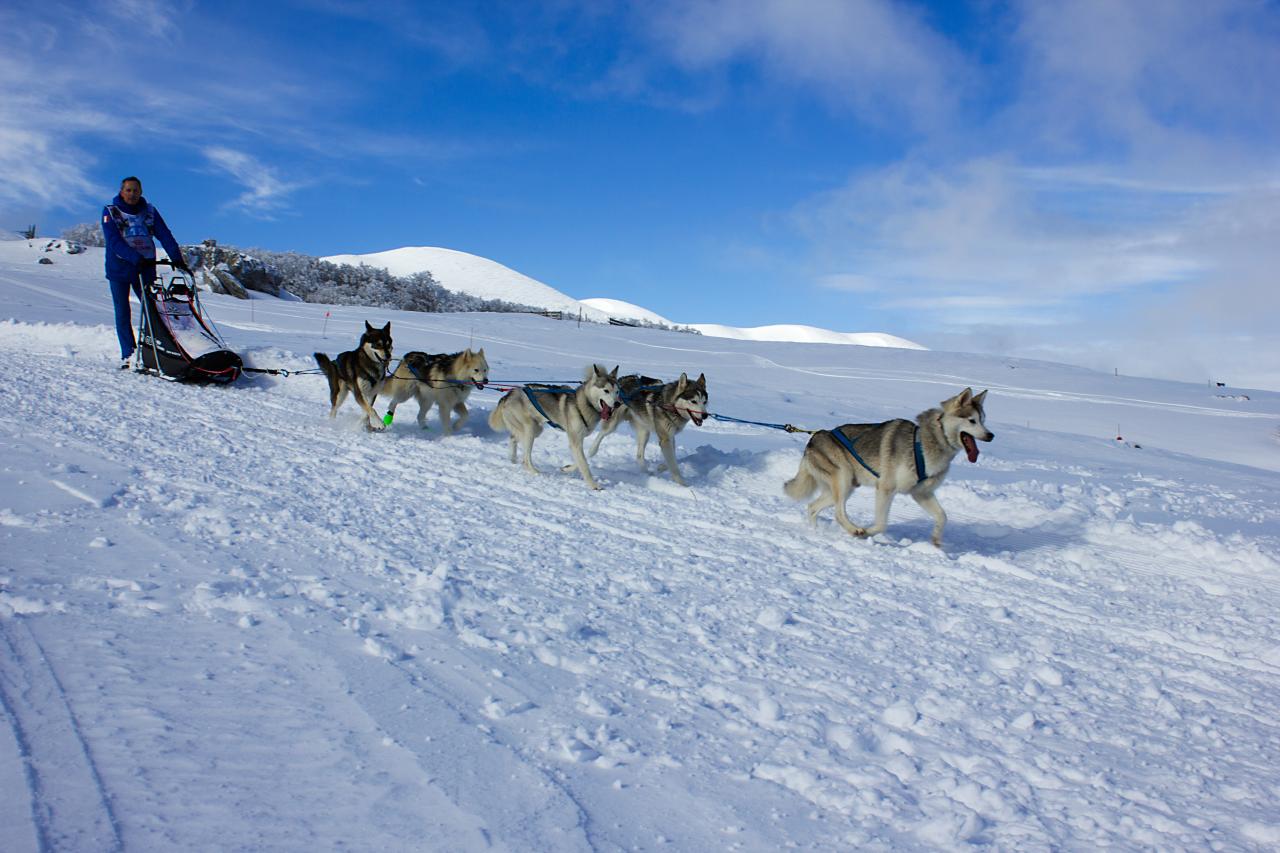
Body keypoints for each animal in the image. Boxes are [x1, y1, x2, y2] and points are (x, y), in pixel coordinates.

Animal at [486, 361, 622, 489]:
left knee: (513, 438)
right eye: (606, 391)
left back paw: (513, 459)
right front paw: (594, 485)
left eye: (617, 392)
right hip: (530, 429)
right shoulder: (575, 441)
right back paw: (535, 471)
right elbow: (584, 464)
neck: (584, 403)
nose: (617, 404)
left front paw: (566, 468)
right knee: (525, 459)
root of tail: (509, 394)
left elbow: (583, 459)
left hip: (536, 429)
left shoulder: (578, 439)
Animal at [783, 386, 993, 545]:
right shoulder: (885, 488)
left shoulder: (922, 493)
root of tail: (814, 437)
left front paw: (935, 541)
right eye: (972, 421)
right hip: (843, 480)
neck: (929, 442)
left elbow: (942, 516)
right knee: (838, 513)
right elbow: (882, 523)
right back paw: (854, 530)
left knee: (812, 507)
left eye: (983, 420)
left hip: (845, 486)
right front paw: (867, 532)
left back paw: (815, 532)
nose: (991, 435)